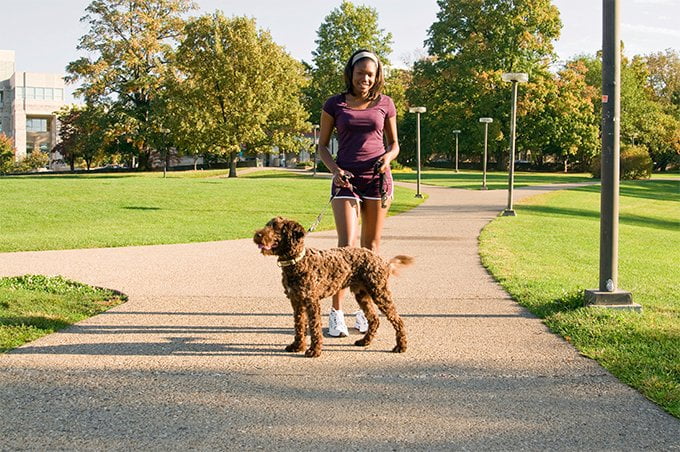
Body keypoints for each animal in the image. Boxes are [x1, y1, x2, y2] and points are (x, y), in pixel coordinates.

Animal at [254, 217, 410, 358]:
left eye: (276, 227)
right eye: (267, 224)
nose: (257, 235)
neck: (297, 262)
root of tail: (382, 261)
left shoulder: (311, 301)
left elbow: (314, 326)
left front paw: (314, 350)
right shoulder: (296, 301)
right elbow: (299, 325)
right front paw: (297, 346)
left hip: (379, 292)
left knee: (397, 320)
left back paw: (401, 346)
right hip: (362, 294)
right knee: (374, 319)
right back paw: (365, 341)